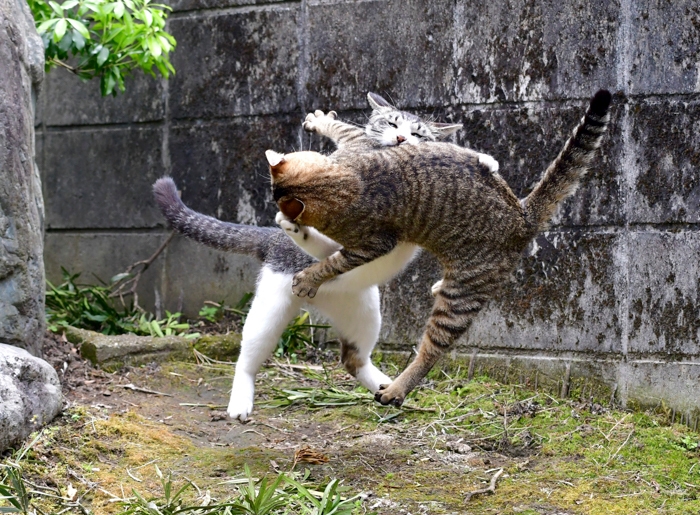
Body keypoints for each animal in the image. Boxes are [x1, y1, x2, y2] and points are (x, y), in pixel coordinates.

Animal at [266, 90, 608, 410]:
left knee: (431, 351)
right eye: (392, 125)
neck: (349, 182)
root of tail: (523, 216)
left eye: (416, 133)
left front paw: (308, 279)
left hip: (461, 298)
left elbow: (332, 262)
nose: (402, 139)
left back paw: (396, 390)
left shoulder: (371, 242)